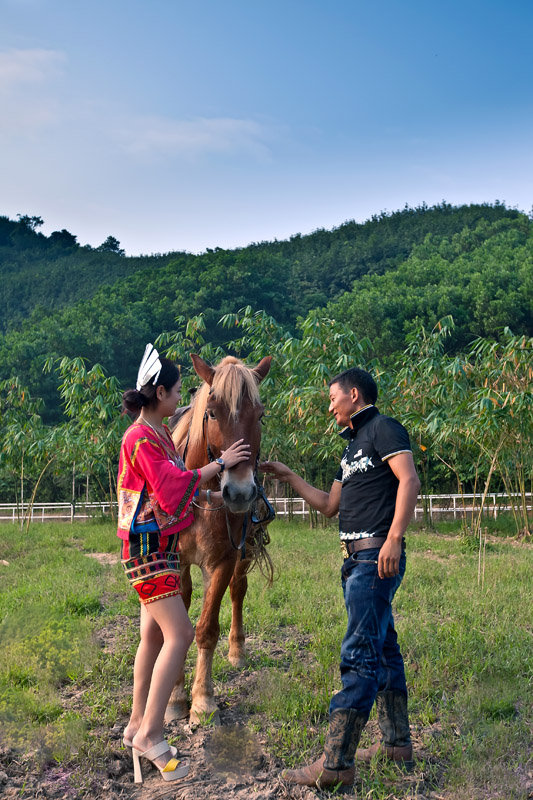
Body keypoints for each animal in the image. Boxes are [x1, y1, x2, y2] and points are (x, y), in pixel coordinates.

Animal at [167, 354, 272, 720]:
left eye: (260, 415)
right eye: (212, 413)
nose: (239, 493)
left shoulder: (224, 560)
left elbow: (207, 629)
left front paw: (202, 698)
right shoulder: (176, 561)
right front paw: (174, 697)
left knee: (238, 590)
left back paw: (237, 650)